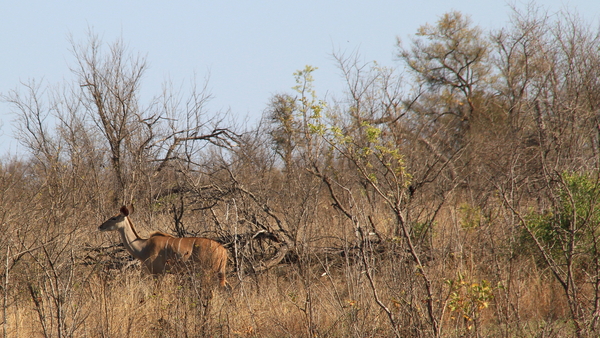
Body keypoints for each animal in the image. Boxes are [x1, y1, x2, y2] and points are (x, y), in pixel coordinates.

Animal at [98, 205, 230, 286]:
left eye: (113, 218)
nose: (100, 226)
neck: (143, 247)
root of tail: (223, 251)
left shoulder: (157, 273)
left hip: (207, 273)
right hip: (220, 273)